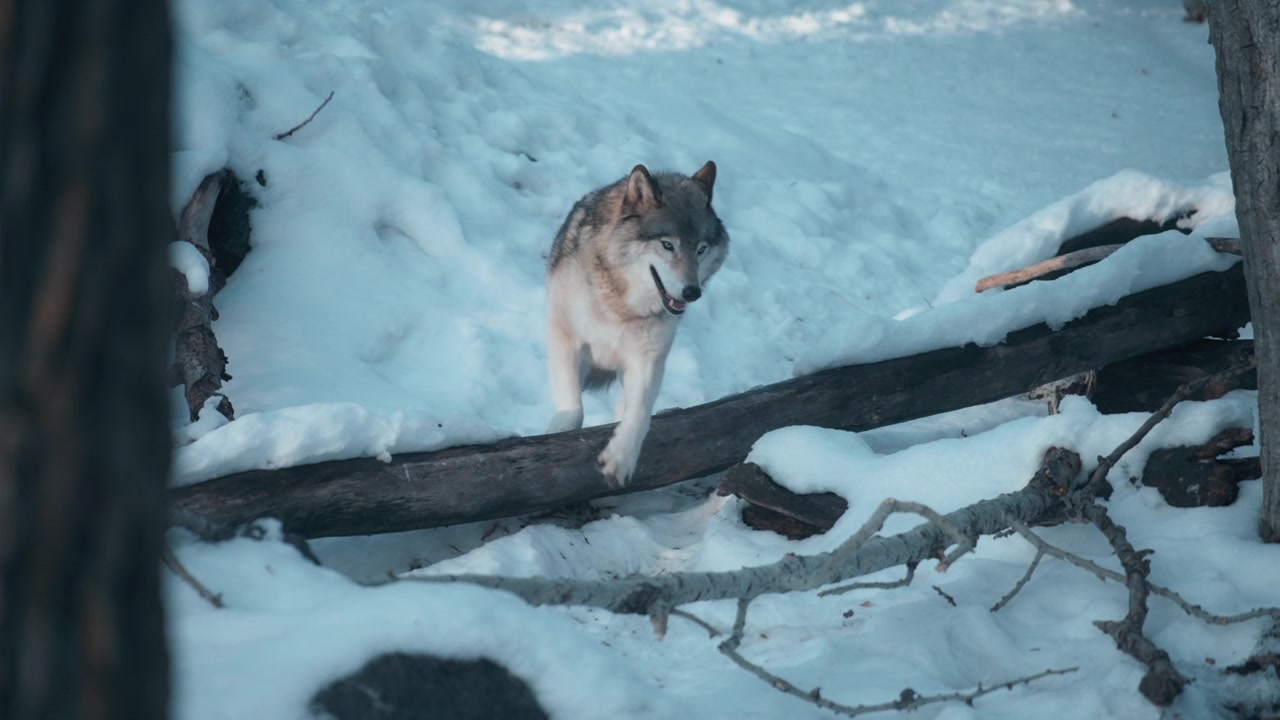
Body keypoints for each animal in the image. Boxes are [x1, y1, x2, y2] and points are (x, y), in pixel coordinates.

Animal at [545, 161, 730, 487]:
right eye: (667, 245)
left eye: (701, 249)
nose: (692, 292)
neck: (623, 306)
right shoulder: (565, 336)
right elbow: (573, 409)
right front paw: (557, 431)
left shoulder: (648, 359)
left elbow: (640, 413)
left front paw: (619, 460)